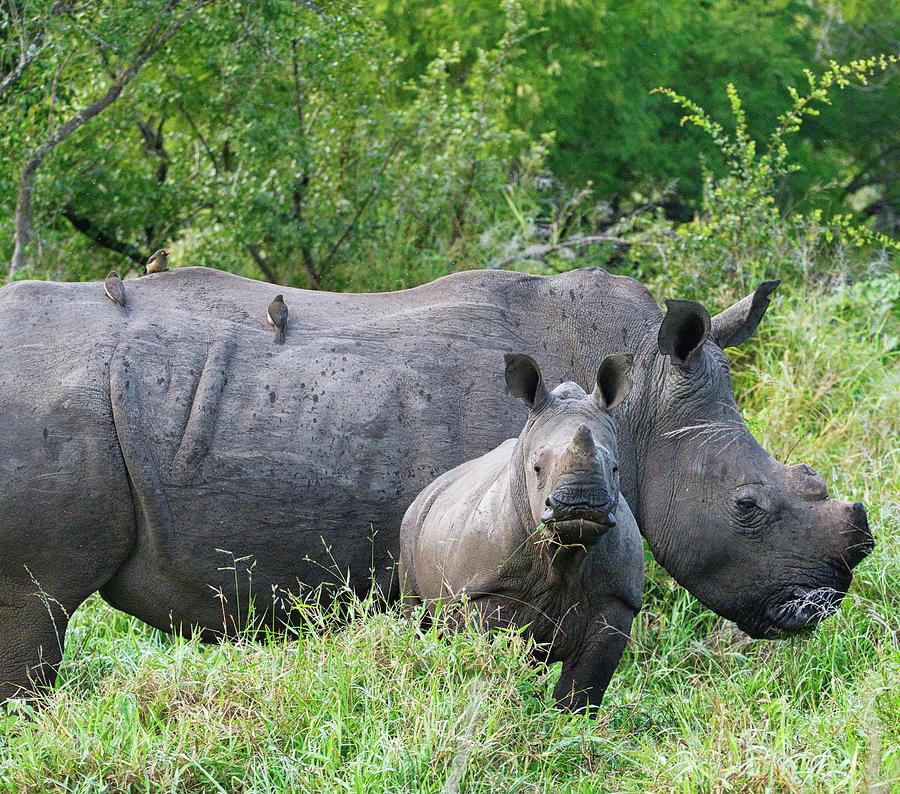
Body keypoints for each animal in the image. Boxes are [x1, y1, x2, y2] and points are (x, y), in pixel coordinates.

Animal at [398, 350, 644, 708]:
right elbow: (490, 662)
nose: (581, 504)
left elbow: (584, 686)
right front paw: (489, 704)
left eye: (614, 468)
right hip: (411, 523)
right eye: (537, 468)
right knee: (418, 617)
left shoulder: (617, 599)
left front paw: (568, 720)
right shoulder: (486, 589)